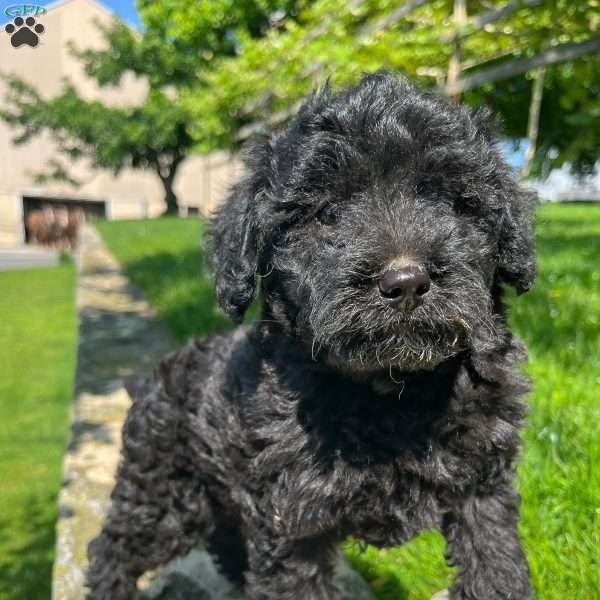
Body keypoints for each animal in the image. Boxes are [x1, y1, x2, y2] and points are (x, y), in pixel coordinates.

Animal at [86, 72, 536, 596]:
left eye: (449, 202)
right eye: (326, 213)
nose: (406, 281)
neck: (391, 390)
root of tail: (148, 379)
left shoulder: (483, 487)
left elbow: (496, 569)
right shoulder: (293, 518)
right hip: (163, 492)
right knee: (112, 549)